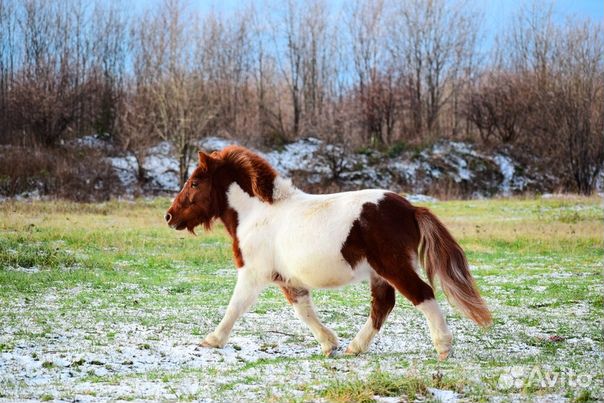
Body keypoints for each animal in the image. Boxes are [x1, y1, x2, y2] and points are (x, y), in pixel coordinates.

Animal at [164, 145, 490, 360]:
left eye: (195, 182)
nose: (169, 216)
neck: (257, 213)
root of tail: (411, 209)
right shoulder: (288, 279)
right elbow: (303, 310)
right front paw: (329, 344)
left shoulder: (253, 273)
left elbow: (235, 307)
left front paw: (211, 340)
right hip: (379, 273)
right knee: (383, 305)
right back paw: (354, 348)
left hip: (392, 265)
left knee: (421, 294)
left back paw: (443, 347)